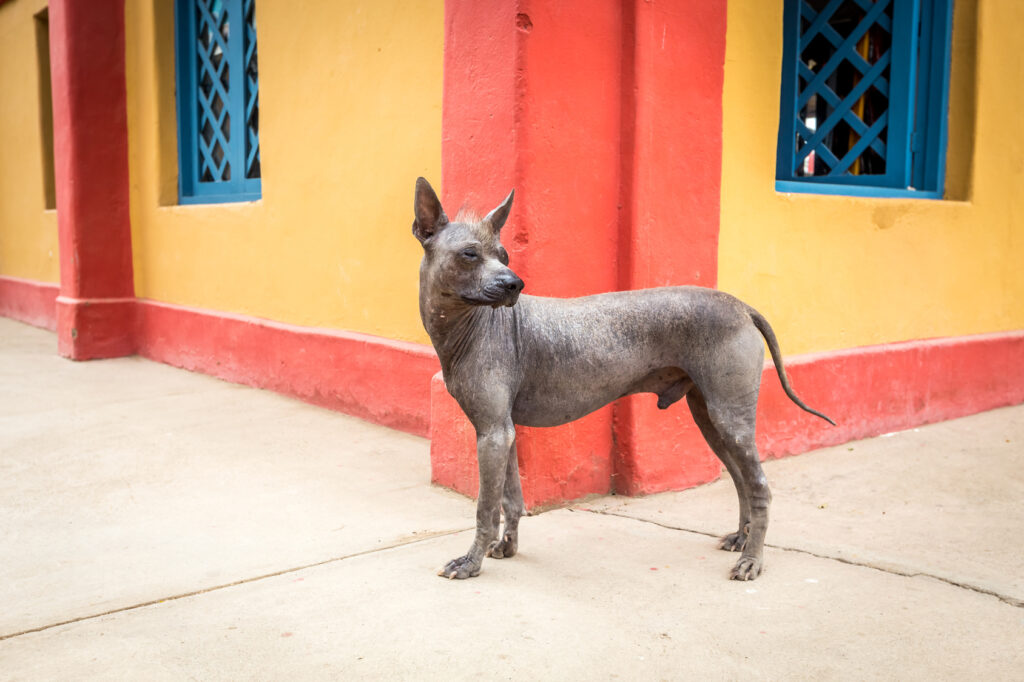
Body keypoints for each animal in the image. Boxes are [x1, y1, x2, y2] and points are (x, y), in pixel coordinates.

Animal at [411, 175, 835, 577]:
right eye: (470, 254)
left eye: (504, 255)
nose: (515, 283)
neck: (471, 326)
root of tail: (742, 306)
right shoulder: (504, 432)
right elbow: (511, 499)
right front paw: (507, 548)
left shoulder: (493, 435)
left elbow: (485, 508)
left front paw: (470, 563)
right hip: (711, 419)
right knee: (741, 480)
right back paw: (741, 540)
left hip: (730, 419)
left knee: (759, 486)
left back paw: (752, 560)